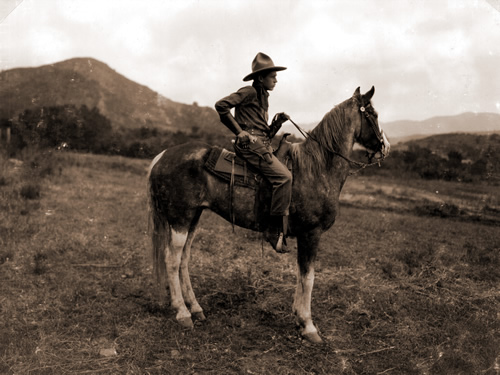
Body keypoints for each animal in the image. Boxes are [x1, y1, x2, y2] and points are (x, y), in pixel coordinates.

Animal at [146, 86, 388, 344]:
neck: (317, 168)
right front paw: (308, 325)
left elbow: (301, 275)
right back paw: (182, 313)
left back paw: (196, 308)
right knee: (171, 260)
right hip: (180, 218)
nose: (386, 147)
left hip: (193, 217)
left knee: (183, 260)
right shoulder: (311, 233)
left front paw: (298, 318)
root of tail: (161, 156)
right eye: (373, 114)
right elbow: (308, 277)